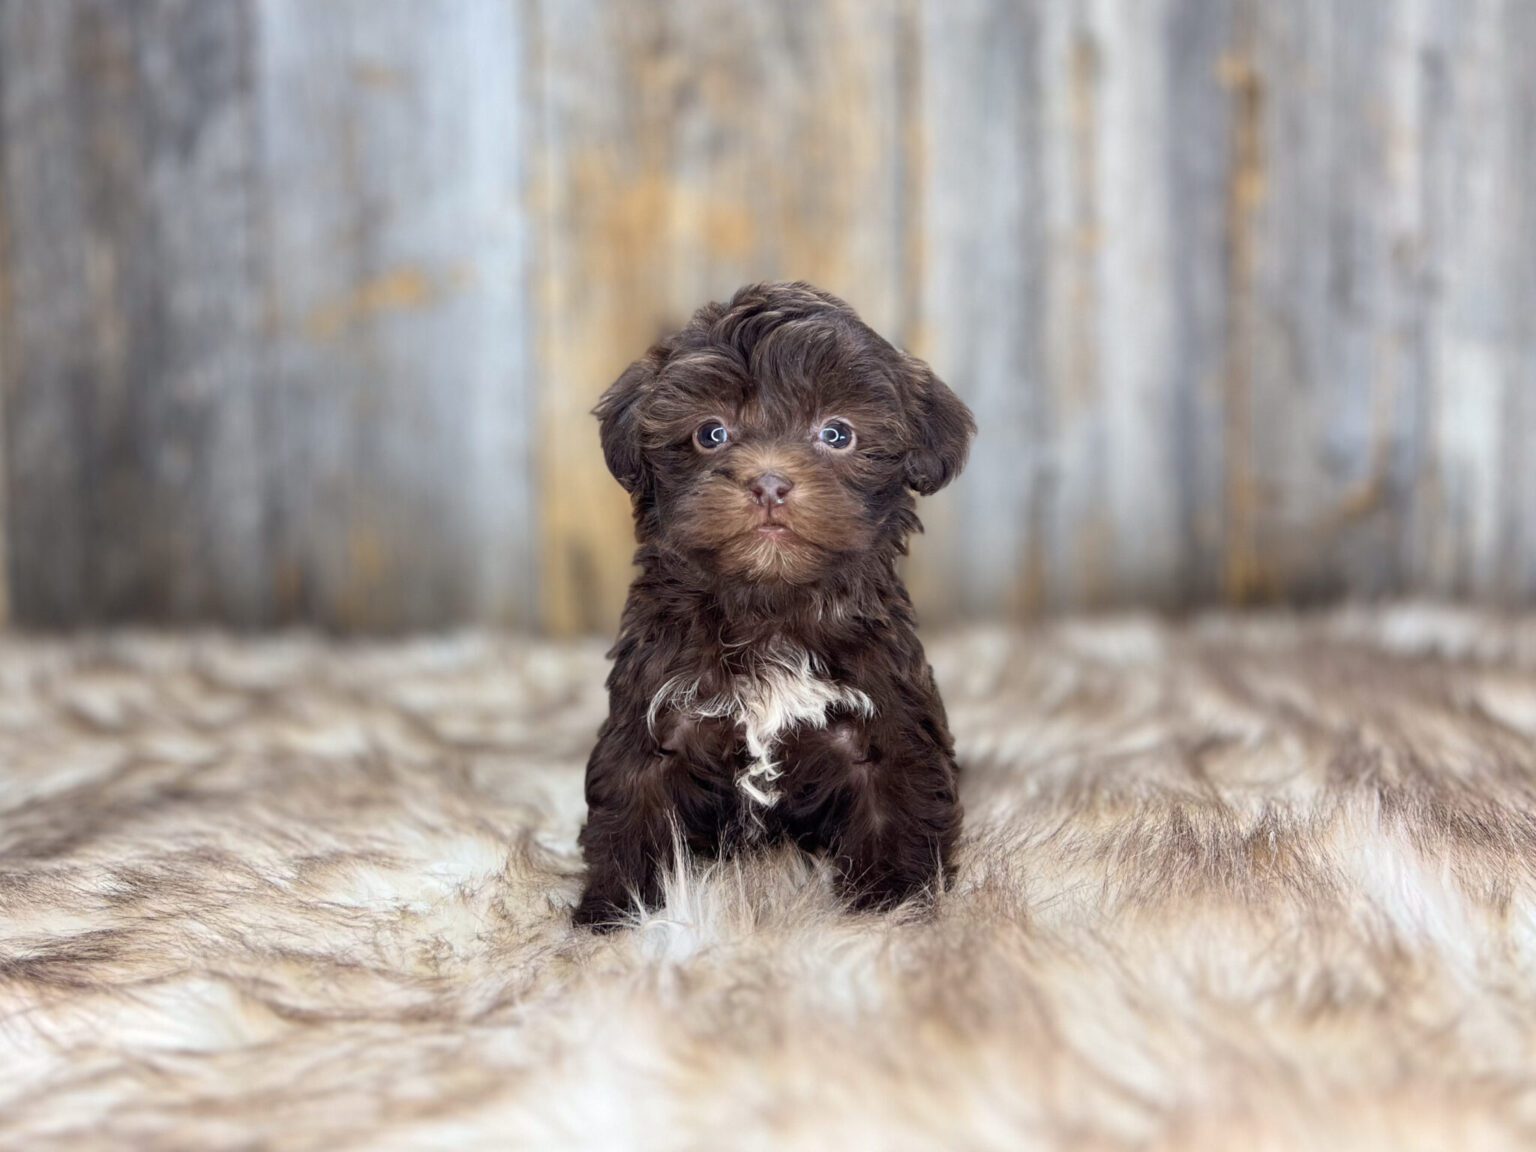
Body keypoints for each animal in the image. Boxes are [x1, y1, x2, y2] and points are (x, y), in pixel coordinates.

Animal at [574, 282, 975, 929]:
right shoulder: (651, 716)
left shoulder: (887, 723)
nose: (768, 482)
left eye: (837, 434)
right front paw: (616, 912)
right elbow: (630, 809)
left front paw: (890, 905)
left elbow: (898, 807)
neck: (769, 614)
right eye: (711, 433)